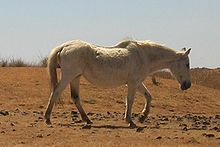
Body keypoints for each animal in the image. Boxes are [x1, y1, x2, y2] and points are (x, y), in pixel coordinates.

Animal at [44, 39, 191, 128]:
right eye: (187, 64)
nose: (187, 85)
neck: (144, 56)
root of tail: (64, 46)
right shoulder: (133, 83)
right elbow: (130, 100)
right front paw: (130, 121)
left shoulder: (137, 83)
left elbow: (148, 96)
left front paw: (142, 117)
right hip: (68, 76)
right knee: (55, 92)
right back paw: (47, 118)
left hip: (75, 77)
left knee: (75, 97)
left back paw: (87, 119)